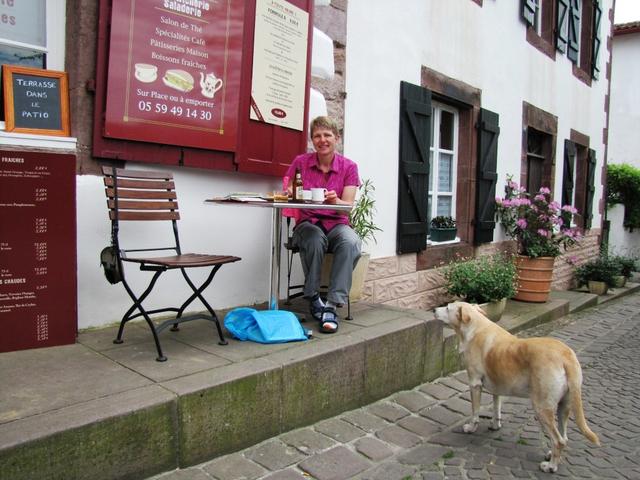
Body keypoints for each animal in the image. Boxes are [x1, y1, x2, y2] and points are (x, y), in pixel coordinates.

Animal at [436, 302, 600, 470]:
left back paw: (550, 466)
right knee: (564, 437)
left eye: (447, 308)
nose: (434, 310)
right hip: (564, 406)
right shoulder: (497, 387)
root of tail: (565, 356)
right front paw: (495, 425)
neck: (476, 327)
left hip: (542, 407)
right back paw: (551, 455)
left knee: (558, 440)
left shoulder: (474, 383)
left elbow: (475, 412)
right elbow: (496, 409)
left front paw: (471, 428)